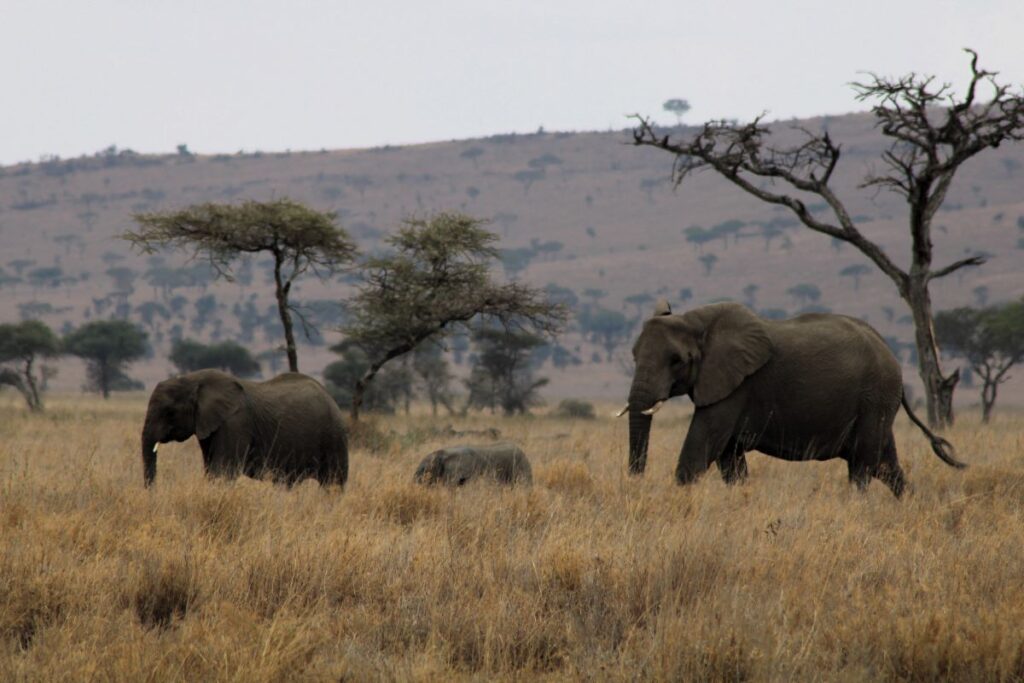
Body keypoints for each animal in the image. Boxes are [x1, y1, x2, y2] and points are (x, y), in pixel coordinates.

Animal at [141, 369, 348, 487]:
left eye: (169, 412)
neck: (193, 379)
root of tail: (332, 399)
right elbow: (211, 469)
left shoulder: (235, 422)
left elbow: (223, 470)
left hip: (334, 437)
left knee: (333, 485)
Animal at [622, 300, 964, 497]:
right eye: (633, 355)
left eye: (676, 360)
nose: (635, 484)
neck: (696, 320)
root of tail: (890, 354)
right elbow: (729, 458)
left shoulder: (738, 384)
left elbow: (700, 448)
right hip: (877, 401)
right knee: (885, 464)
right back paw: (908, 505)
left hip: (875, 395)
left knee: (863, 465)